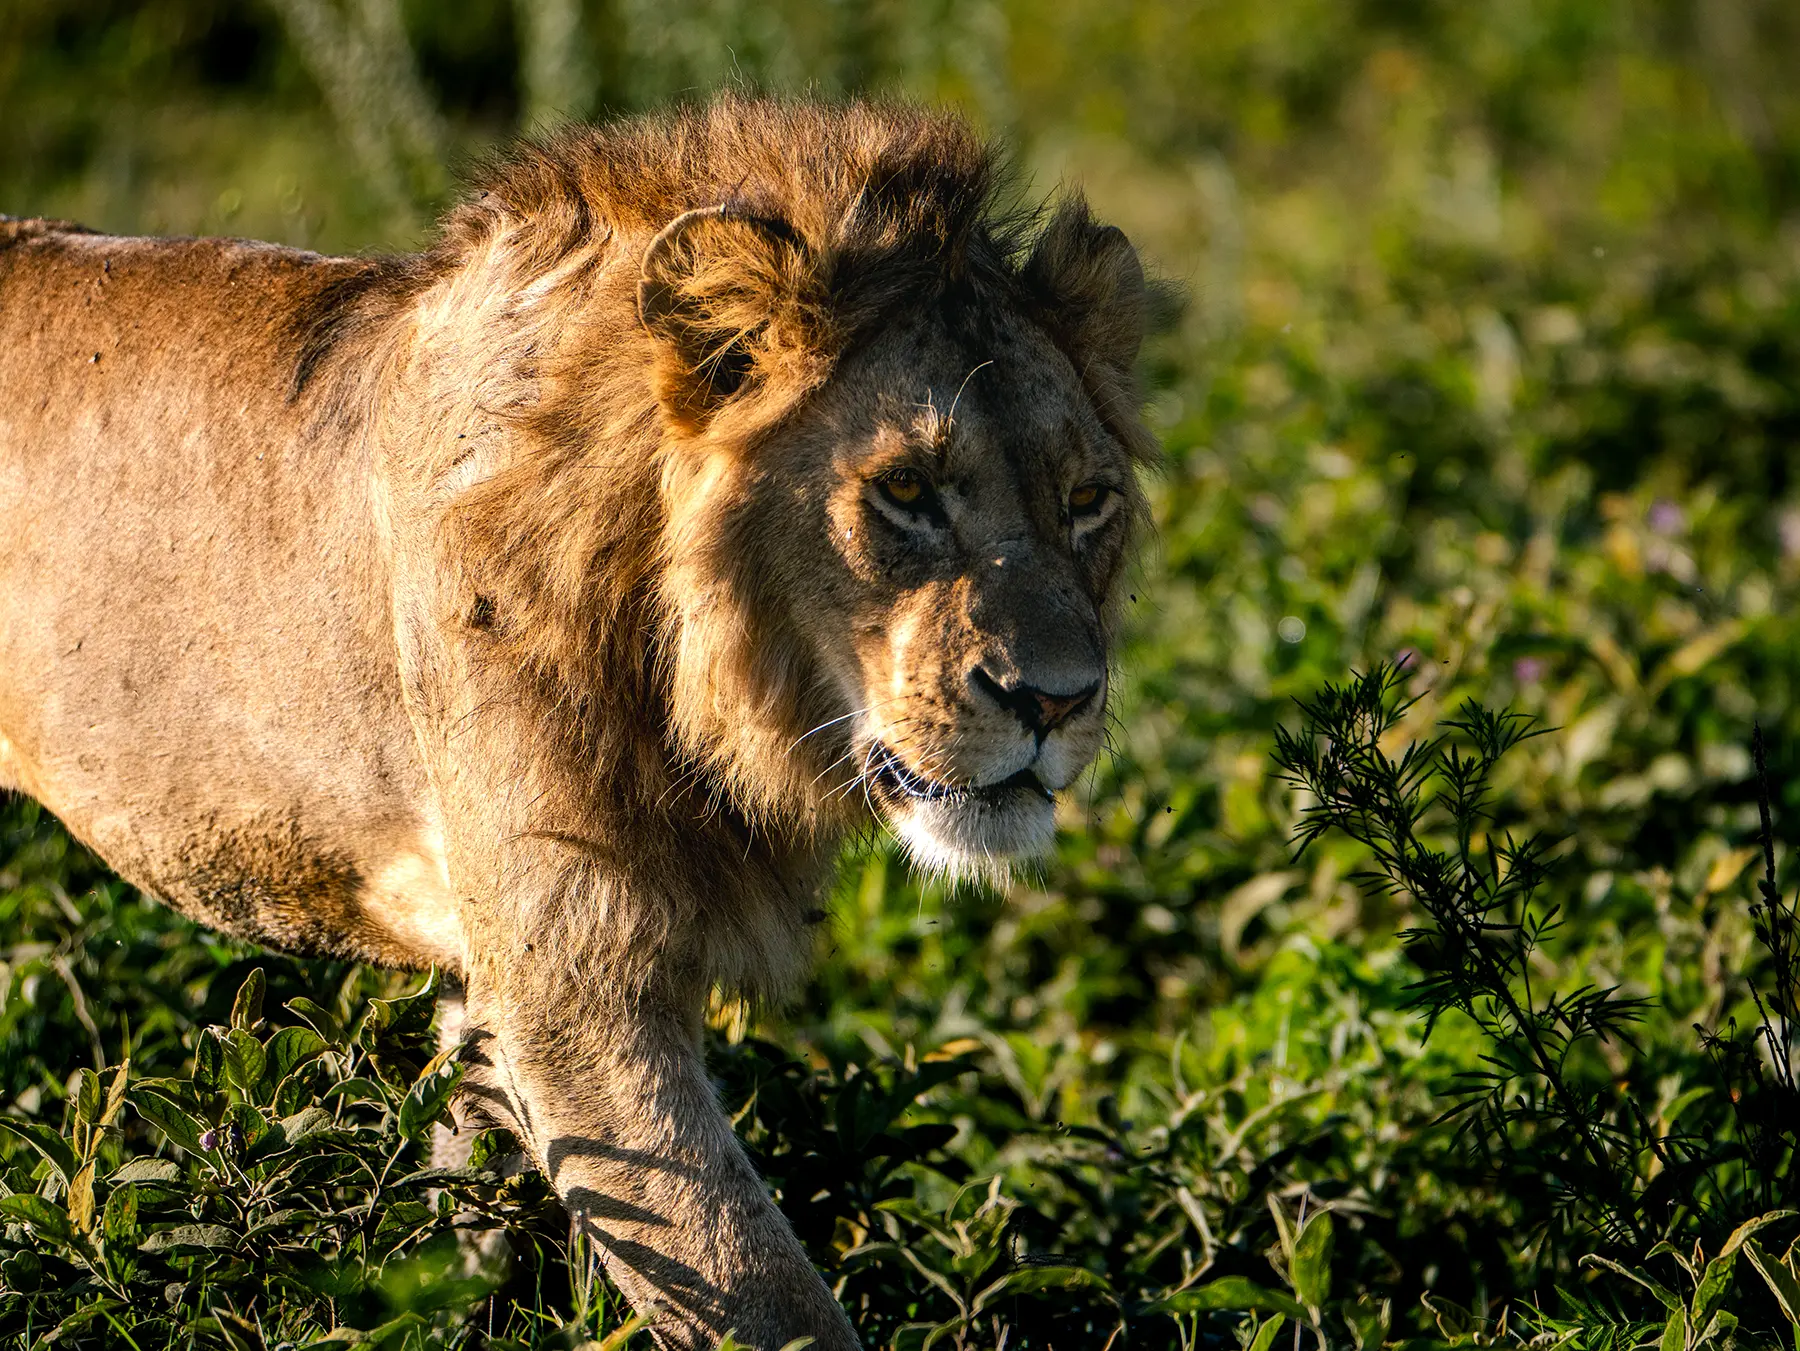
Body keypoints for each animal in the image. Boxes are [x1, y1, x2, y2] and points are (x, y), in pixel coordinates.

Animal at [0, 96, 1155, 1349]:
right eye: (905, 491)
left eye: (1088, 502)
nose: (1057, 698)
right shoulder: (576, 983)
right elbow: (754, 1286)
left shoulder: (494, 973)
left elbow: (461, 1205)